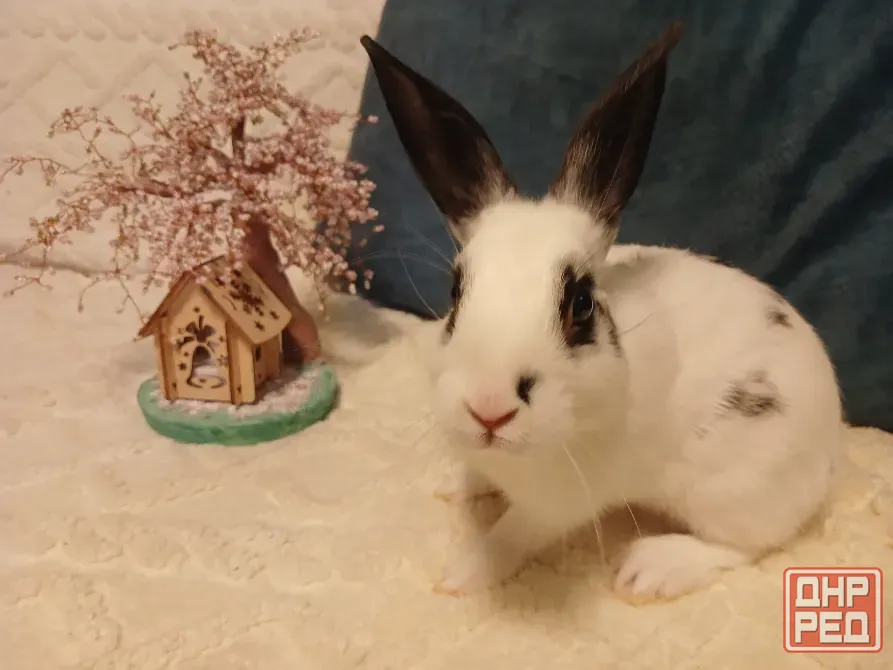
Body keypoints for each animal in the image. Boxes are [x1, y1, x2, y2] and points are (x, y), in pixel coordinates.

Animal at [359, 22, 844, 600]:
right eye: (454, 294)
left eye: (582, 305)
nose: (489, 408)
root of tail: (831, 440)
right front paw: (457, 485)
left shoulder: (558, 504)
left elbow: (511, 537)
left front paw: (461, 577)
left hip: (736, 490)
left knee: (749, 546)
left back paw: (651, 568)